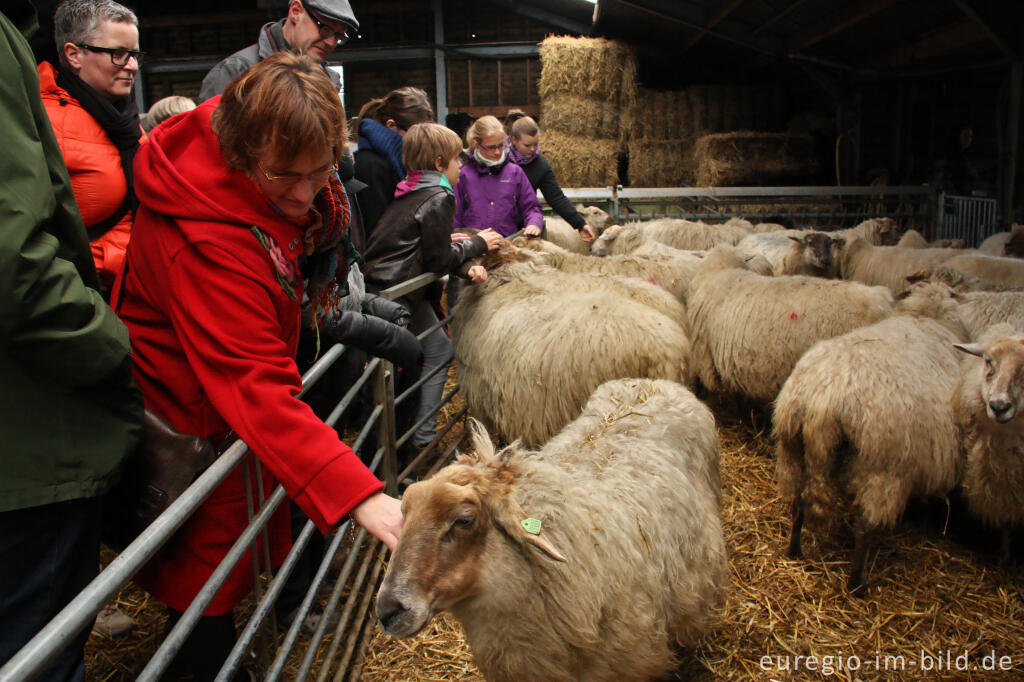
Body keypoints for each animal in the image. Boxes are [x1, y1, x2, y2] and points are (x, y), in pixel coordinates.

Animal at [770, 280, 970, 589]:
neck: (927, 317)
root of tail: (823, 396)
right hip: (883, 467)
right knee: (865, 527)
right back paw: (857, 584)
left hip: (792, 446)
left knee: (798, 503)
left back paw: (794, 551)